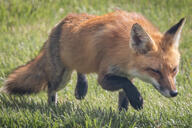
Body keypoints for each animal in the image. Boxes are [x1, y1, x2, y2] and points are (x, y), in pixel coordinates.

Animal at [0, 10, 186, 110]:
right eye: (155, 71)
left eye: (174, 70)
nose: (174, 93)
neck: (124, 52)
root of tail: (59, 24)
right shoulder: (104, 77)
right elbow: (126, 85)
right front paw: (137, 100)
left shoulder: (127, 74)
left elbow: (124, 95)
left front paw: (123, 114)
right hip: (61, 78)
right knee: (51, 88)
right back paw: (53, 106)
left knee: (81, 69)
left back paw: (81, 88)